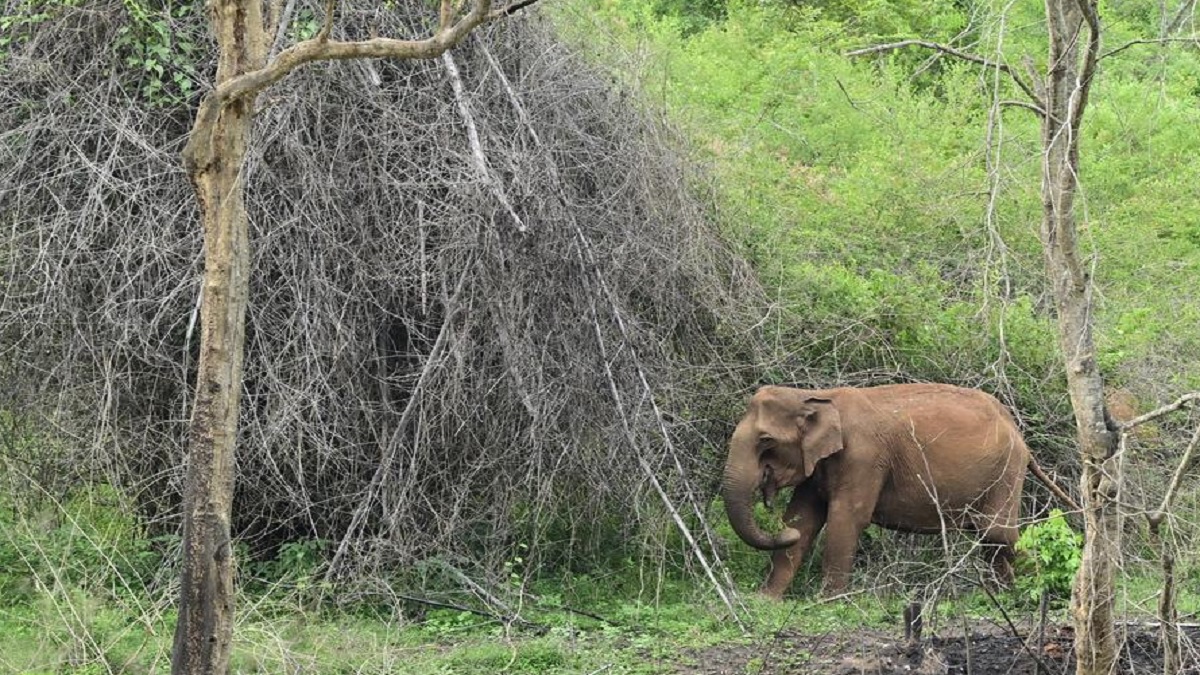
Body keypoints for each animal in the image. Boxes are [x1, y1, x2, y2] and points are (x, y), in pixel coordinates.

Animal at [721, 383, 1077, 598]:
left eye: (765, 440)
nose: (765, 500)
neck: (816, 395)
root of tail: (1018, 432)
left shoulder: (864, 457)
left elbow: (846, 518)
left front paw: (827, 600)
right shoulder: (819, 464)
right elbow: (803, 519)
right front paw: (766, 599)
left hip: (1006, 471)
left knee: (998, 534)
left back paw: (1031, 592)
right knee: (991, 538)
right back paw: (1003, 595)